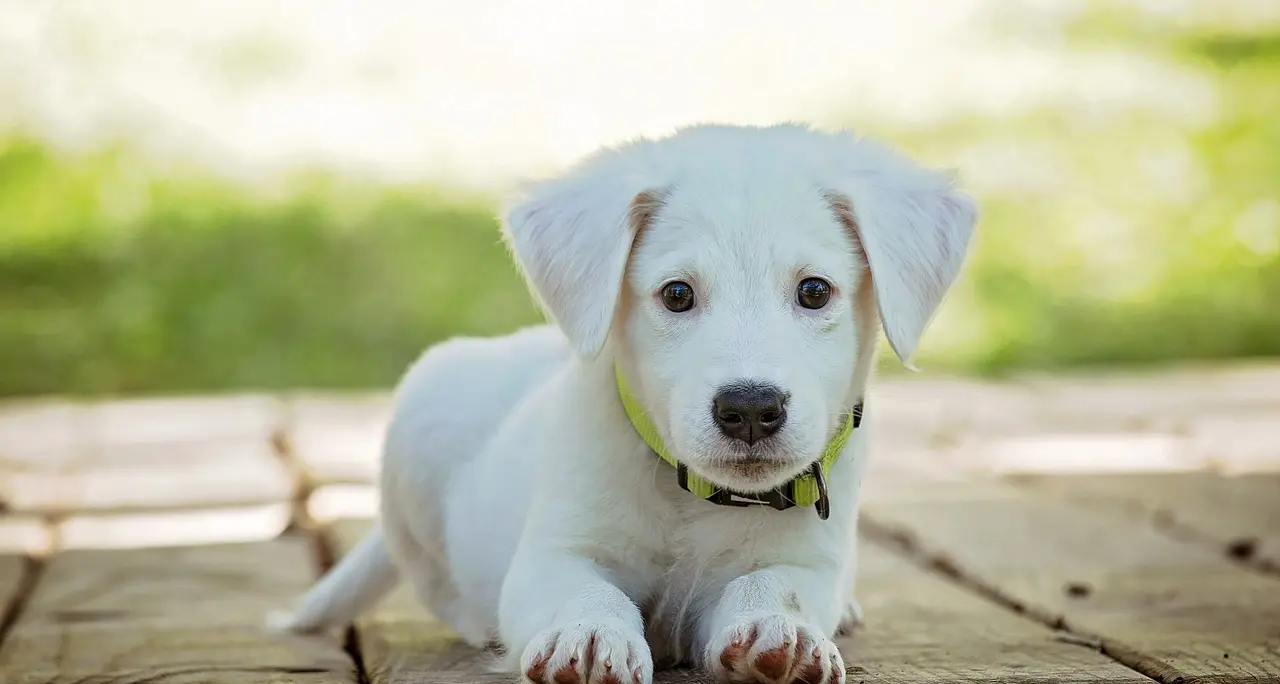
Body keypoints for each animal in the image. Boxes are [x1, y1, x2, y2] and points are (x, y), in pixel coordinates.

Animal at [280, 124, 972, 684]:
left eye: (815, 291)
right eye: (676, 294)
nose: (750, 409)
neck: (695, 496)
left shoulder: (807, 561)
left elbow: (773, 585)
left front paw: (782, 634)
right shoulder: (555, 553)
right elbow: (588, 592)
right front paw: (589, 636)